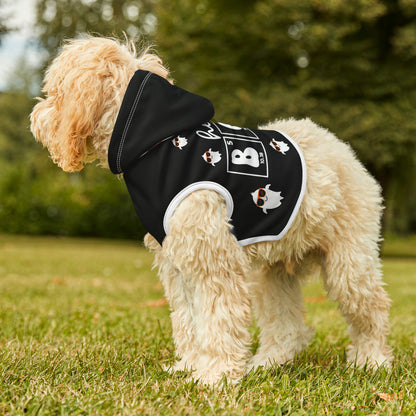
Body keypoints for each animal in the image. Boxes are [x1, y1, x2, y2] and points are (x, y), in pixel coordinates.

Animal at [30, 37, 394, 386]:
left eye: (55, 92)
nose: (35, 117)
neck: (156, 143)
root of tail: (342, 149)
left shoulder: (214, 259)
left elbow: (218, 319)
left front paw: (215, 375)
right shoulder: (178, 263)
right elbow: (189, 319)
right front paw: (191, 366)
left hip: (349, 263)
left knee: (372, 309)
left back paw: (372, 360)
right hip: (273, 273)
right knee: (287, 326)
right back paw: (268, 362)